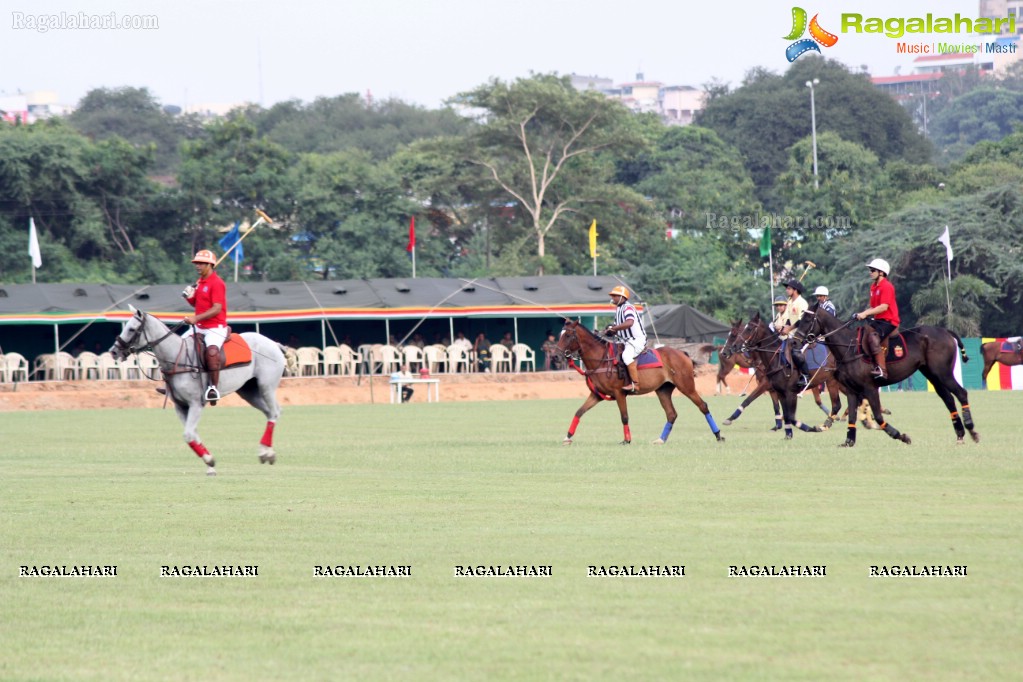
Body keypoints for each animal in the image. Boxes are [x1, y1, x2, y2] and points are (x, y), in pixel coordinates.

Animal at [111, 304, 286, 474]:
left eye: (131, 329)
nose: (114, 351)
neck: (177, 358)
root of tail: (274, 343)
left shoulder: (196, 404)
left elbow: (188, 435)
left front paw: (209, 460)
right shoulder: (181, 406)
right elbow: (193, 434)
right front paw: (210, 464)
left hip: (266, 385)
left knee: (274, 412)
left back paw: (266, 453)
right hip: (248, 391)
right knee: (269, 412)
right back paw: (267, 452)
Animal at [556, 321, 724, 447]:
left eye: (569, 335)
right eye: (560, 334)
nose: (557, 355)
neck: (601, 359)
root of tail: (683, 353)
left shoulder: (619, 393)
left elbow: (624, 416)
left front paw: (627, 440)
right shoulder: (596, 395)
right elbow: (579, 412)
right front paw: (567, 437)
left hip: (686, 386)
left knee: (702, 406)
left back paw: (718, 435)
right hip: (663, 390)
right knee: (671, 413)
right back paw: (660, 440)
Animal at [793, 304, 977, 447]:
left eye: (807, 320)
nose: (794, 341)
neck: (848, 348)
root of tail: (946, 331)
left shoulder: (870, 387)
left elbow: (878, 415)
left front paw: (900, 436)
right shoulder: (852, 390)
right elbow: (852, 415)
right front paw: (849, 441)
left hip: (943, 372)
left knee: (961, 393)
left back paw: (971, 430)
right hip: (932, 375)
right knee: (948, 399)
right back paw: (960, 434)